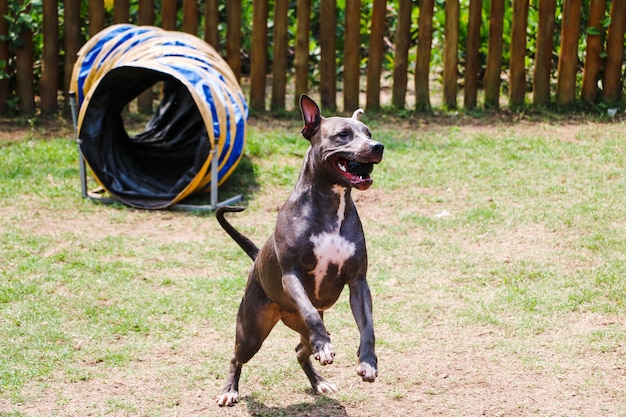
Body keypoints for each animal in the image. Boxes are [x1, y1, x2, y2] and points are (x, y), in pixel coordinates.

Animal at [214, 94, 380, 406]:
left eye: (368, 133)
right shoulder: (292, 276)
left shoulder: (358, 282)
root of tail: (257, 258)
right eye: (343, 134)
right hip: (251, 331)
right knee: (236, 356)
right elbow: (312, 314)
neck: (331, 205)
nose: (378, 147)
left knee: (301, 351)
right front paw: (325, 346)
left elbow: (367, 327)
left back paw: (319, 382)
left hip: (296, 326)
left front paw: (368, 361)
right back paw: (230, 389)